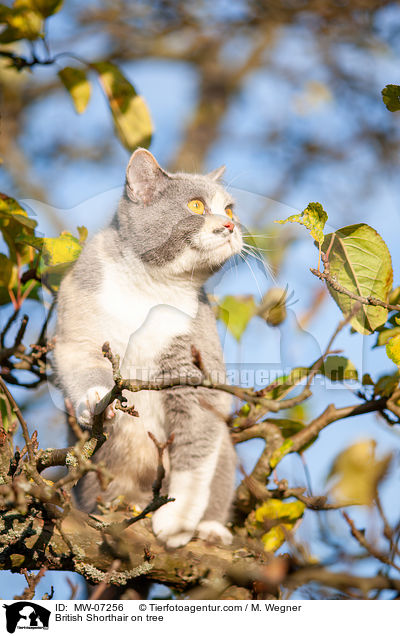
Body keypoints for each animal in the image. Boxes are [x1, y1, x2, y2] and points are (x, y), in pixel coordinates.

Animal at [54, 148, 242, 548]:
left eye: (230, 210)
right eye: (196, 205)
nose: (231, 226)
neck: (150, 288)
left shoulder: (195, 369)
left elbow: (195, 448)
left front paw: (178, 522)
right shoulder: (78, 326)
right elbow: (81, 363)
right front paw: (95, 399)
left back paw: (210, 528)